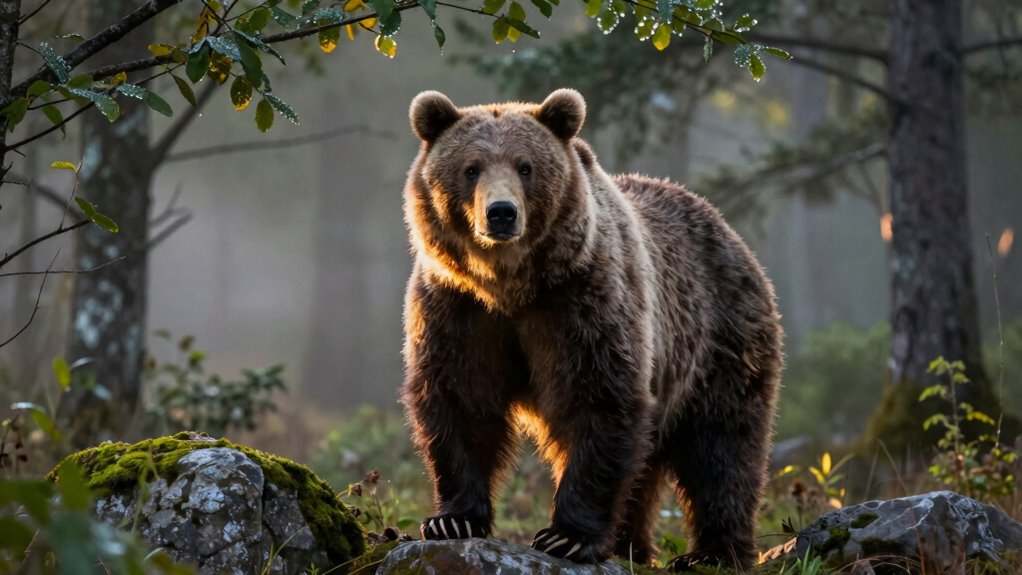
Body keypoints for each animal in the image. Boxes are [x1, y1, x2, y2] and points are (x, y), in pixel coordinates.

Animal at [400, 88, 783, 570]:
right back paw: (631, 545)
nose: (501, 213)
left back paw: (714, 553)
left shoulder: (582, 302)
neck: (510, 287)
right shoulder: (458, 308)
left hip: (718, 337)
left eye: (525, 166)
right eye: (471, 168)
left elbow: (599, 399)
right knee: (652, 463)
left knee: (722, 445)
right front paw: (452, 520)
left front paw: (566, 536)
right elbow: (461, 399)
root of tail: (727, 228)